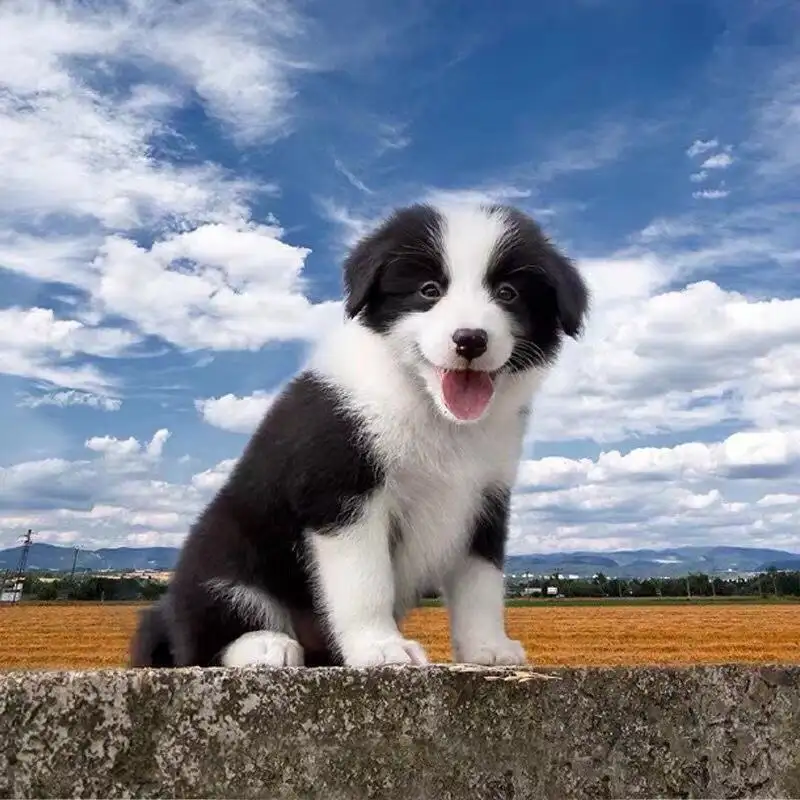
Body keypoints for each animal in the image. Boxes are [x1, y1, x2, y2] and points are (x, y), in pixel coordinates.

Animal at [131, 200, 588, 668]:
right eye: (429, 290)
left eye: (508, 293)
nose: (470, 339)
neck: (431, 409)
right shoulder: (344, 490)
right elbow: (365, 581)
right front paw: (380, 647)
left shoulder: (485, 499)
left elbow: (481, 581)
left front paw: (489, 648)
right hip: (223, 551)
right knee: (206, 636)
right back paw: (264, 645)